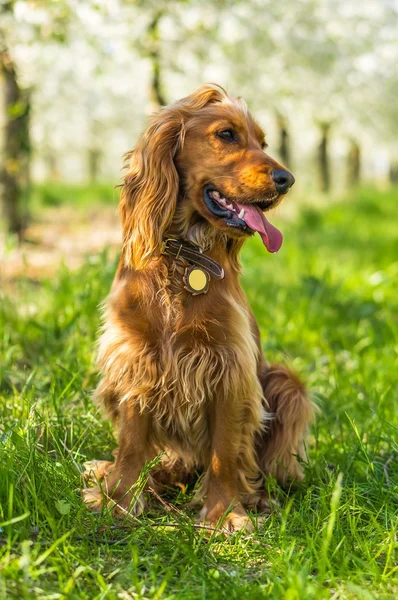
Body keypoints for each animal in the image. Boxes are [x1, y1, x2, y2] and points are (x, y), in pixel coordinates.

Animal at [83, 83, 314, 528]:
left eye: (263, 143)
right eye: (226, 135)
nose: (288, 179)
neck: (185, 256)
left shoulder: (228, 366)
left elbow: (224, 454)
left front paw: (224, 515)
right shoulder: (138, 356)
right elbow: (132, 442)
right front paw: (118, 500)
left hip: (286, 382)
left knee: (262, 465)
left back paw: (257, 497)